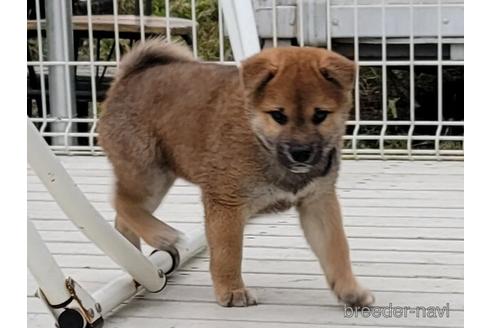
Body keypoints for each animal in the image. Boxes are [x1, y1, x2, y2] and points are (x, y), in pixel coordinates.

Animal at [98, 39, 374, 308]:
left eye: (320, 115)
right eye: (278, 115)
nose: (300, 153)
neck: (259, 139)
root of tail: (129, 77)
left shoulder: (318, 202)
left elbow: (336, 250)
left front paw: (350, 291)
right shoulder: (226, 203)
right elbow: (228, 254)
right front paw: (232, 291)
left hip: (157, 180)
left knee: (123, 219)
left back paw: (136, 266)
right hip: (148, 173)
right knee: (122, 204)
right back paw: (159, 235)